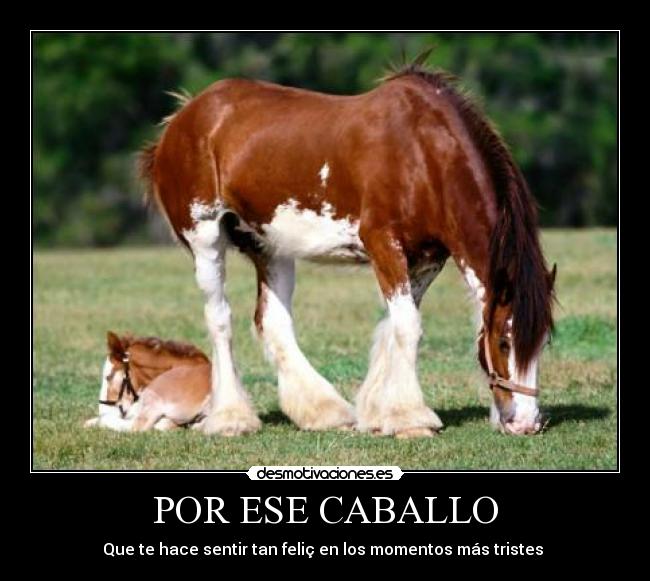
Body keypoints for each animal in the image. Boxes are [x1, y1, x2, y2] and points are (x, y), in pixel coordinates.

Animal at [139, 60, 556, 438]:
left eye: (543, 342)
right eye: (504, 341)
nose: (526, 422)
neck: (422, 154)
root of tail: (182, 118)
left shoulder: (427, 260)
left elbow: (394, 326)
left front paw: (378, 412)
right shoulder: (383, 244)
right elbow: (408, 327)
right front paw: (411, 419)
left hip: (270, 247)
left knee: (272, 321)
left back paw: (323, 411)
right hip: (206, 238)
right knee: (219, 318)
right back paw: (231, 419)